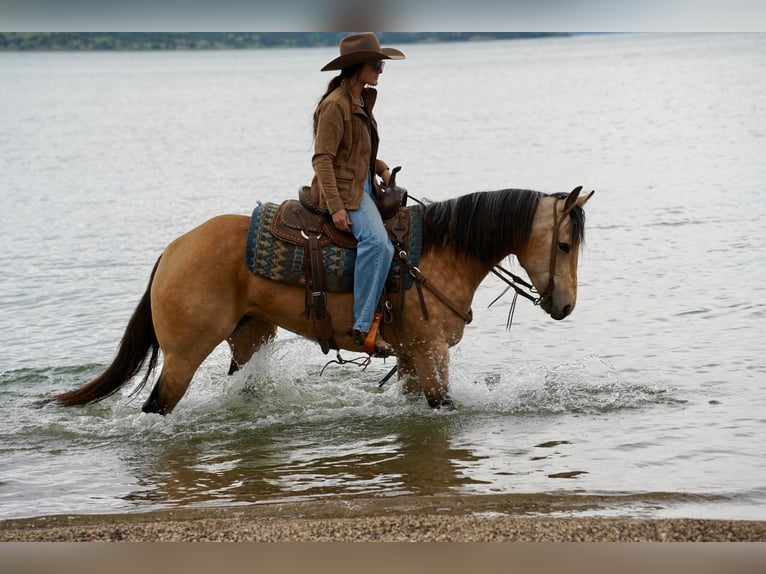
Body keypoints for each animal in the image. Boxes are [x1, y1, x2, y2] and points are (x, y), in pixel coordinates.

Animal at [50, 186, 593, 415]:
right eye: (566, 244)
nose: (566, 307)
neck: (442, 251)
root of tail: (172, 251)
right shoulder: (431, 352)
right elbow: (445, 404)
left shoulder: (414, 358)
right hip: (184, 355)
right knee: (157, 405)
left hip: (249, 338)